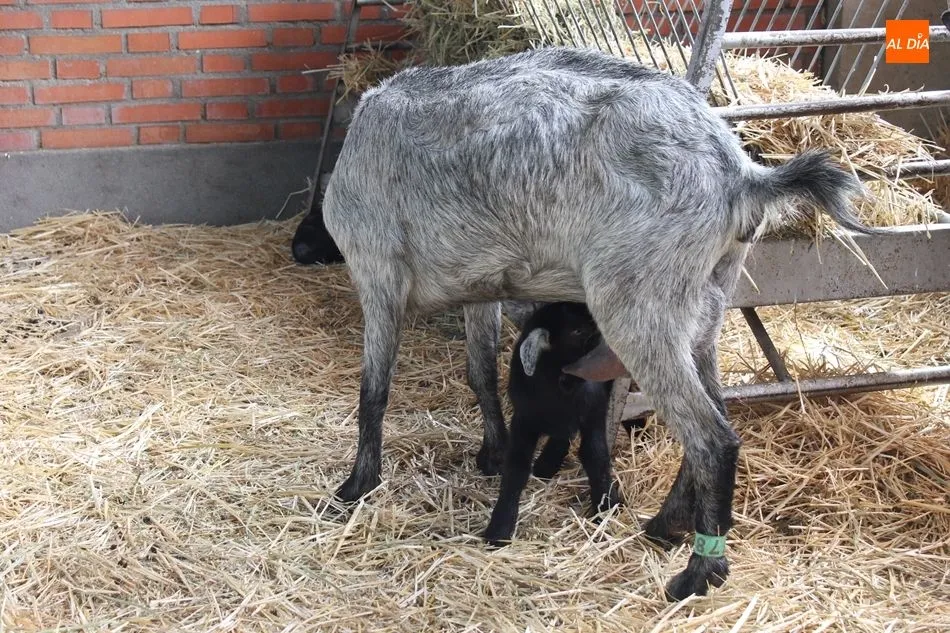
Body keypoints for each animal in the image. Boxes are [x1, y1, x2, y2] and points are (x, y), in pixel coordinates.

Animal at [484, 302, 621, 547]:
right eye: (577, 331)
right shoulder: (523, 421)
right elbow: (516, 468)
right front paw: (499, 527)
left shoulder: (593, 413)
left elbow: (595, 456)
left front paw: (606, 506)